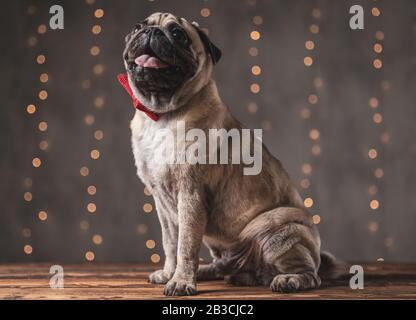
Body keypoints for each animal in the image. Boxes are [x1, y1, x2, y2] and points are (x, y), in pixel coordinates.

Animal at [122, 13, 342, 298]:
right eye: (137, 27)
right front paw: (170, 273)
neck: (163, 114)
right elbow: (170, 243)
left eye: (178, 34)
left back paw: (288, 280)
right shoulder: (163, 204)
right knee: (226, 267)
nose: (150, 32)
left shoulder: (190, 196)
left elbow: (186, 246)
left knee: (310, 275)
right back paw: (213, 271)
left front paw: (181, 281)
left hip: (280, 230)